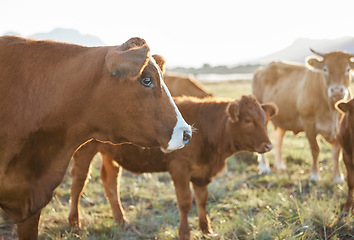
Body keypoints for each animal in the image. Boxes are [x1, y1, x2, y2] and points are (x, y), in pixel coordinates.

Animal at [68, 95, 276, 240]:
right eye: (247, 120)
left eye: (265, 120)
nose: (268, 146)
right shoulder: (180, 168)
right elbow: (185, 202)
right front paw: (185, 233)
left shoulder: (202, 173)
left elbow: (202, 200)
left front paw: (206, 229)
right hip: (84, 151)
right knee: (78, 184)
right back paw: (75, 224)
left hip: (110, 155)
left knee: (110, 183)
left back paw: (122, 221)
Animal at [253, 49, 352, 183]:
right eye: (325, 69)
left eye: (348, 69)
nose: (337, 91)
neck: (331, 110)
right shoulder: (308, 123)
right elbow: (315, 149)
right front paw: (314, 176)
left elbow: (336, 152)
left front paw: (338, 177)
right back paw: (264, 167)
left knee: (278, 139)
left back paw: (280, 165)